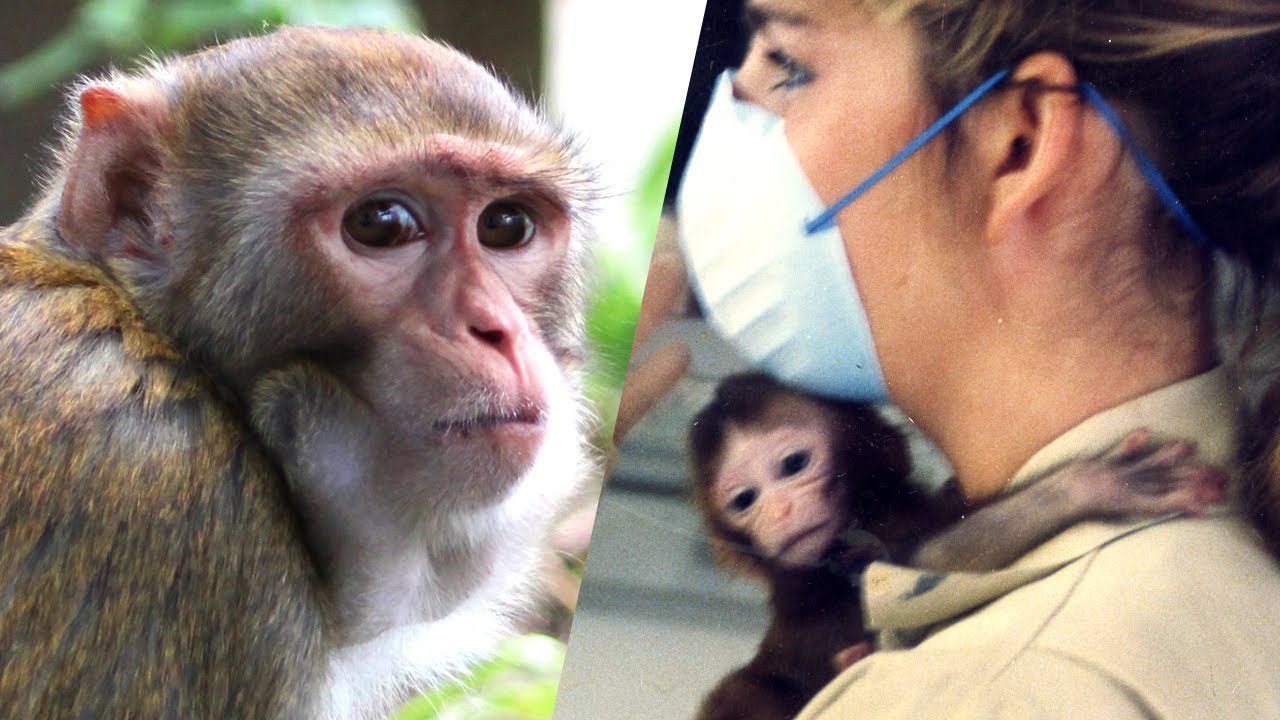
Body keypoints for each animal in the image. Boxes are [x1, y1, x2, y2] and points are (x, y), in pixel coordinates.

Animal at [689, 373, 1226, 720]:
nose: (779, 511)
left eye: (793, 463)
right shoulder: (813, 591)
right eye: (744, 500)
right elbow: (910, 576)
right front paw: (1082, 488)